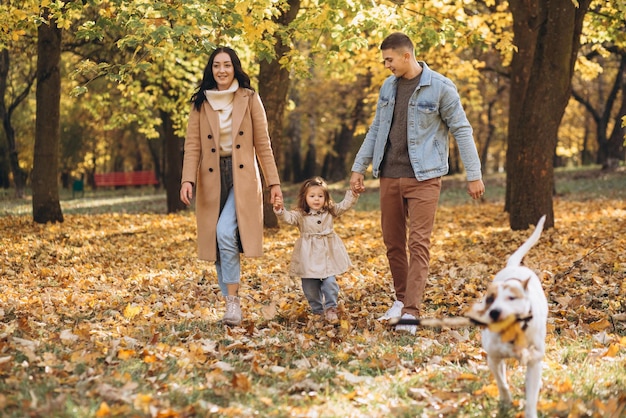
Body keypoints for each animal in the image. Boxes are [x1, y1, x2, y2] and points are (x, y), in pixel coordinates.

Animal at [466, 216, 544, 418]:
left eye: (511, 298)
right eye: (490, 299)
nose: (494, 312)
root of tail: (514, 267)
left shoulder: (534, 362)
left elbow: (531, 395)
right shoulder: (493, 358)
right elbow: (501, 382)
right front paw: (506, 401)